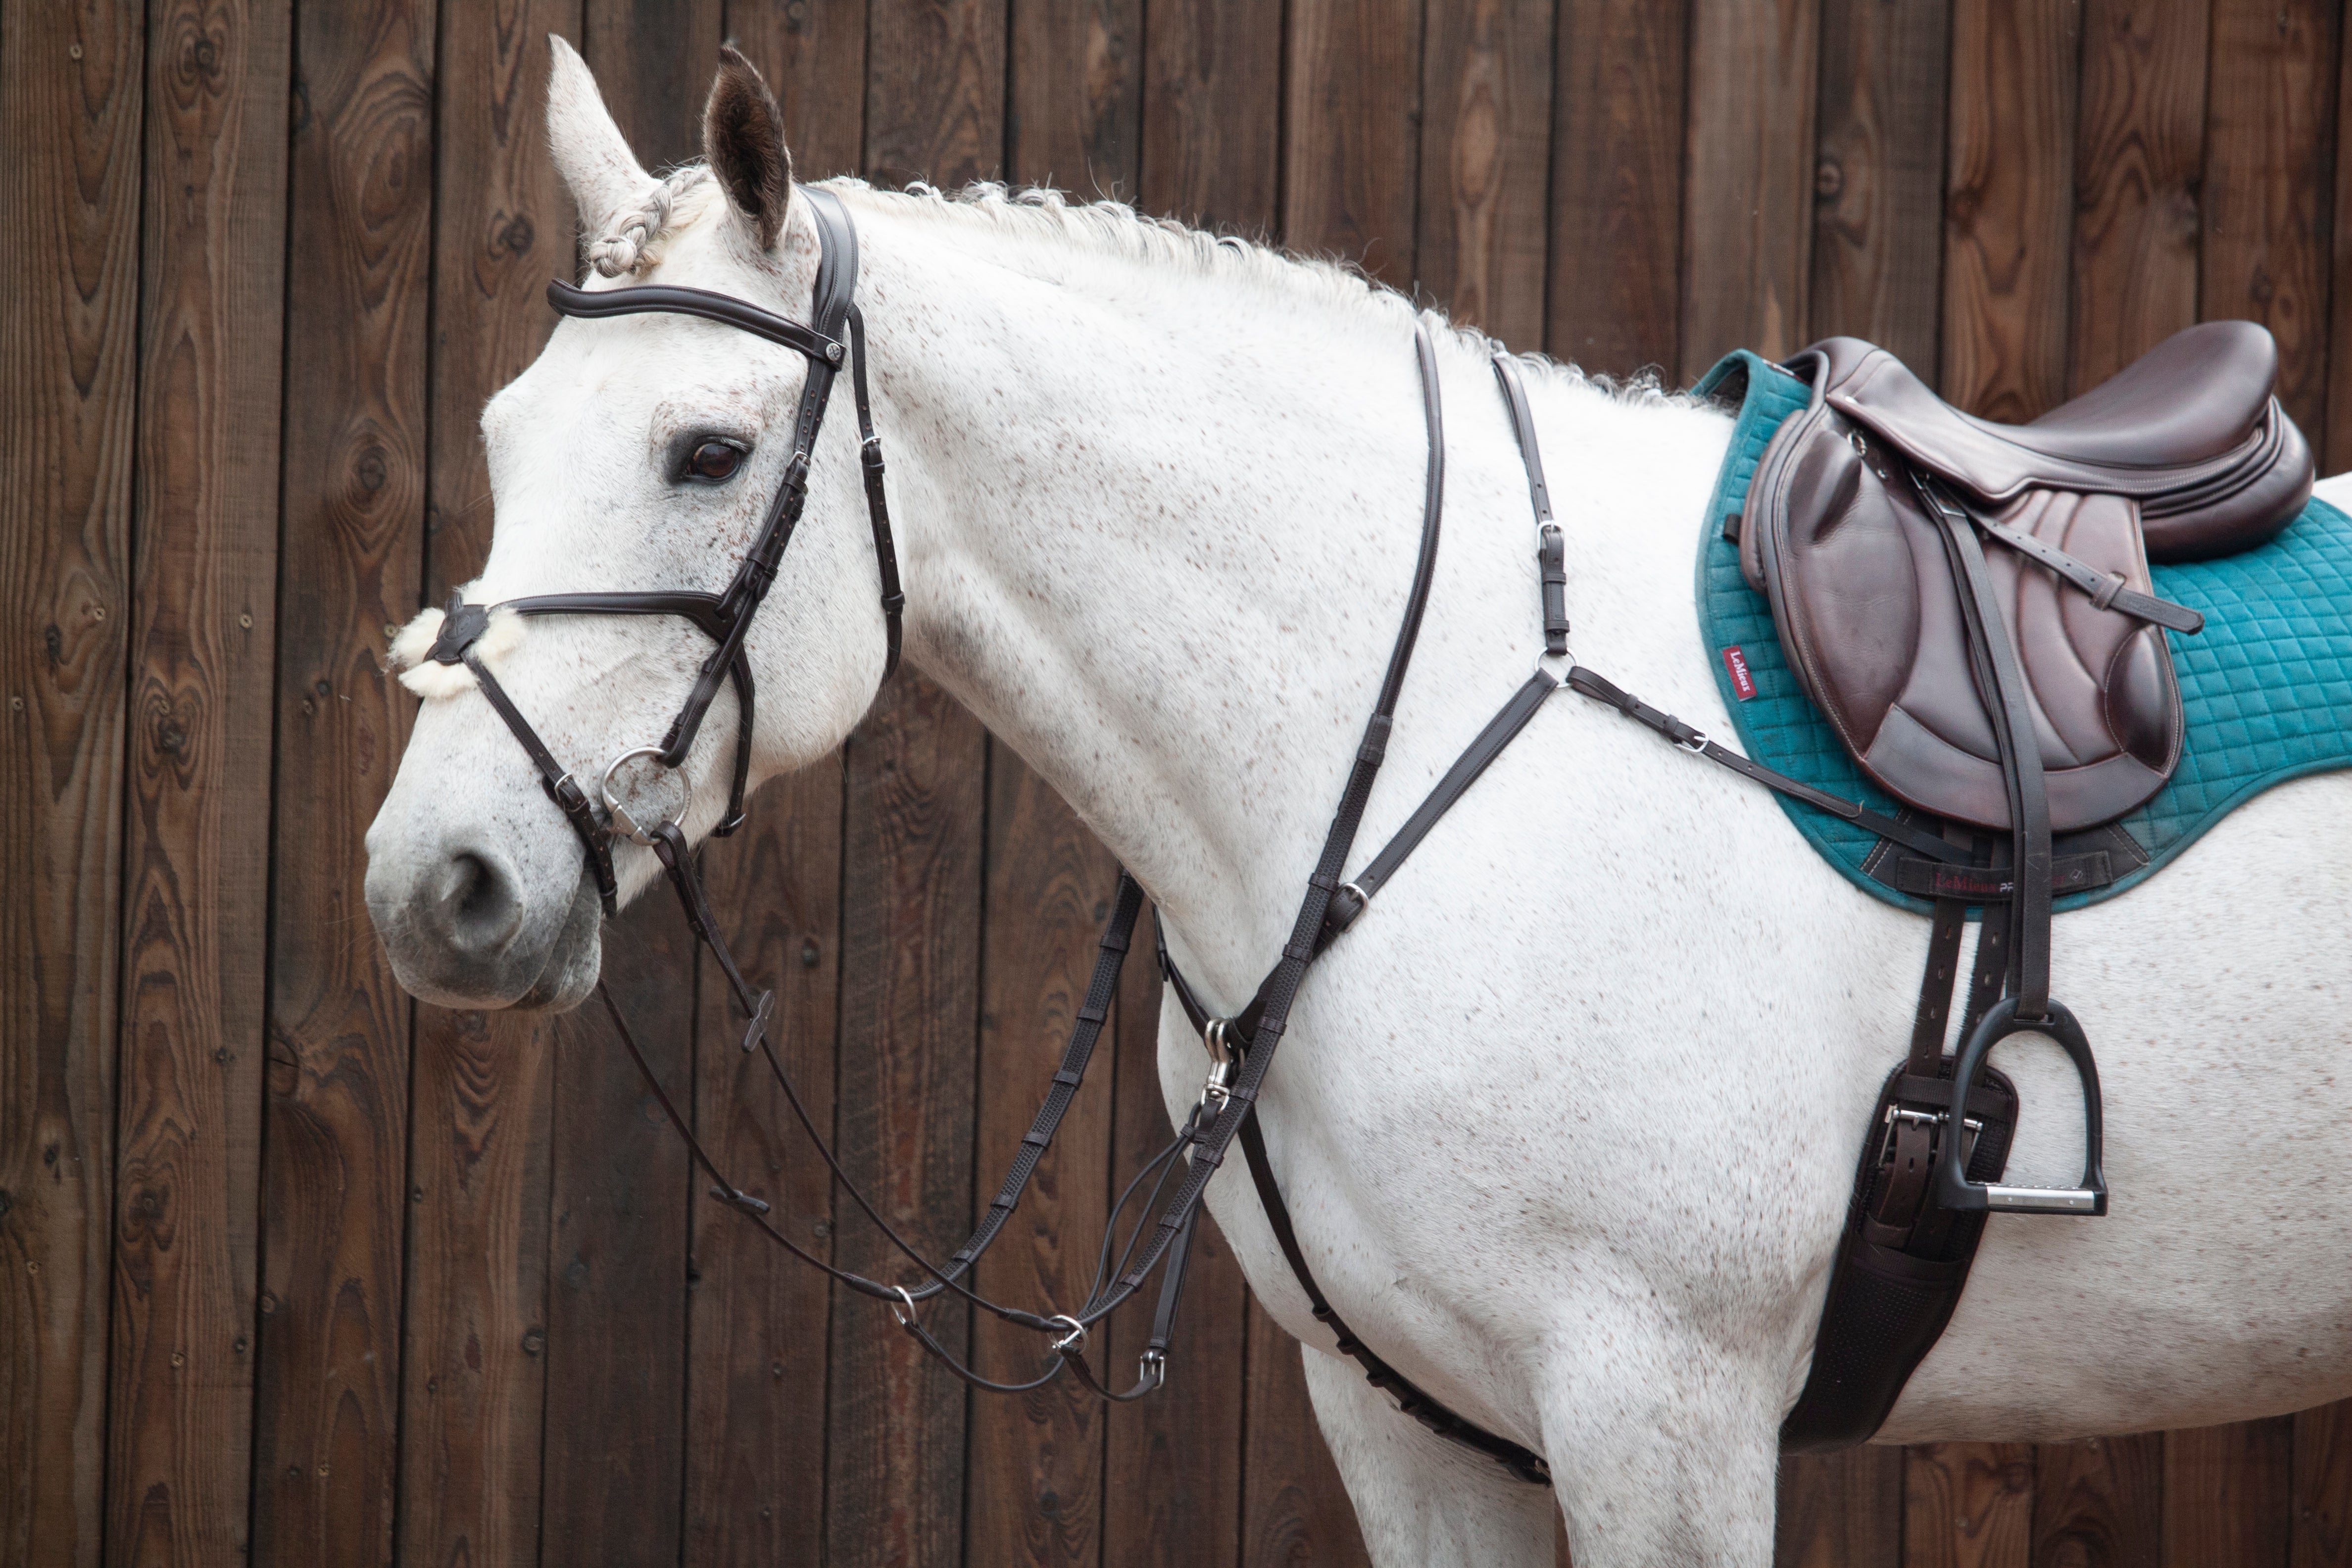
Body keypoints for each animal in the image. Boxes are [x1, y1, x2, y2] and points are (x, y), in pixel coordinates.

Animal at [362, 43, 2352, 1561]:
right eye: (501, 440)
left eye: (705, 454)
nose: (434, 885)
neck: (1438, 731)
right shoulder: (1420, 1425)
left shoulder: (1663, 1415)